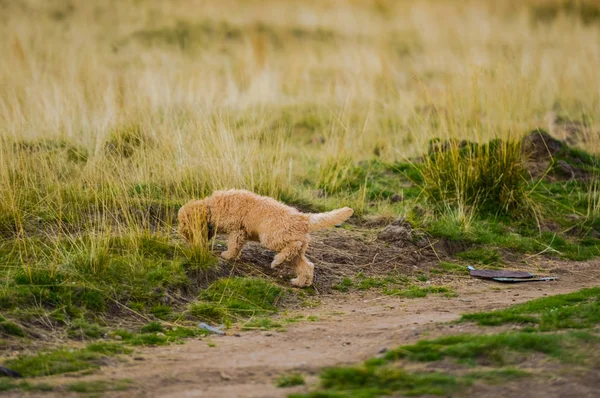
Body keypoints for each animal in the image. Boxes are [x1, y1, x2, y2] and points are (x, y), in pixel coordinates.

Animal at [176, 190, 354, 286]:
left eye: (184, 223)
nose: (181, 233)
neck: (211, 208)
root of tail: (302, 218)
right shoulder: (240, 233)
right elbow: (237, 246)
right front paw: (233, 256)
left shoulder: (237, 231)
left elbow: (233, 245)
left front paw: (228, 255)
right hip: (295, 251)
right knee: (306, 265)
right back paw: (299, 282)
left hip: (272, 237)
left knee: (293, 246)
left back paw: (276, 261)